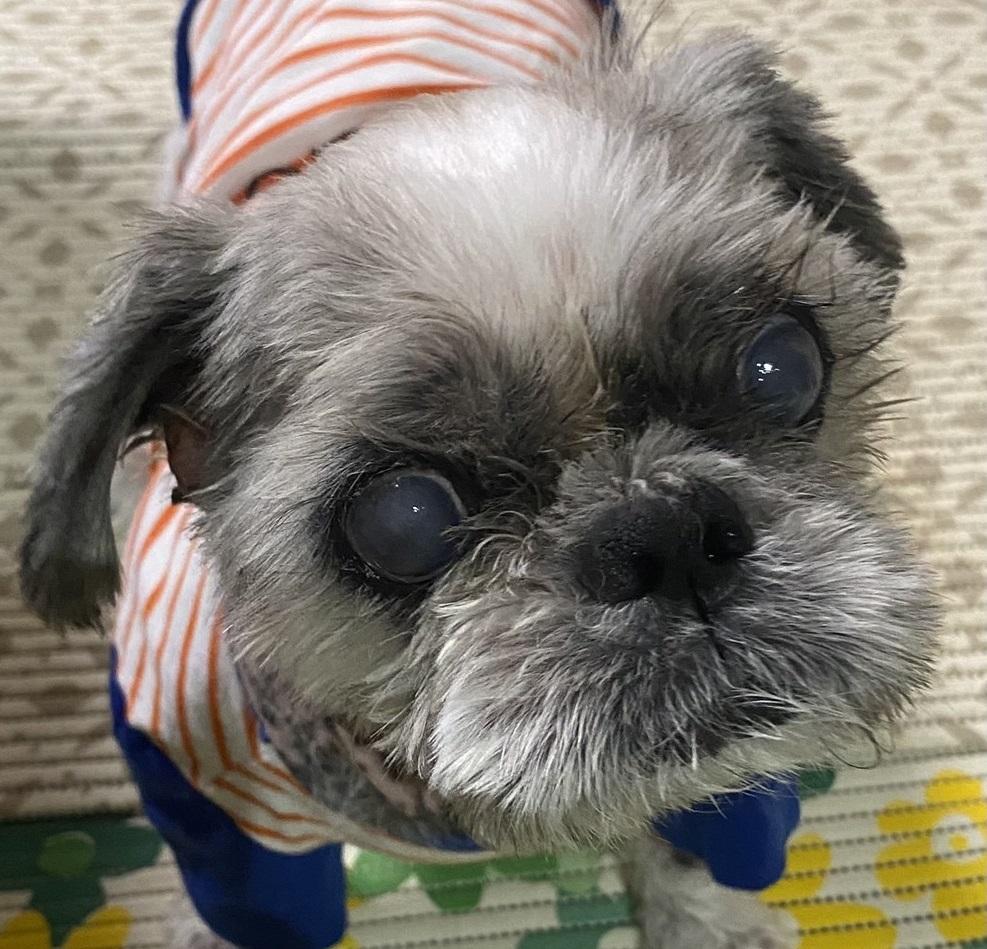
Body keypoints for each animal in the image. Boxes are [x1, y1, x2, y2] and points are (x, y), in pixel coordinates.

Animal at [20, 0, 939, 945]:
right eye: (401, 517)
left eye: (780, 366)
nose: (668, 531)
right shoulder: (222, 808)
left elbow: (698, 831)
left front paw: (702, 919)